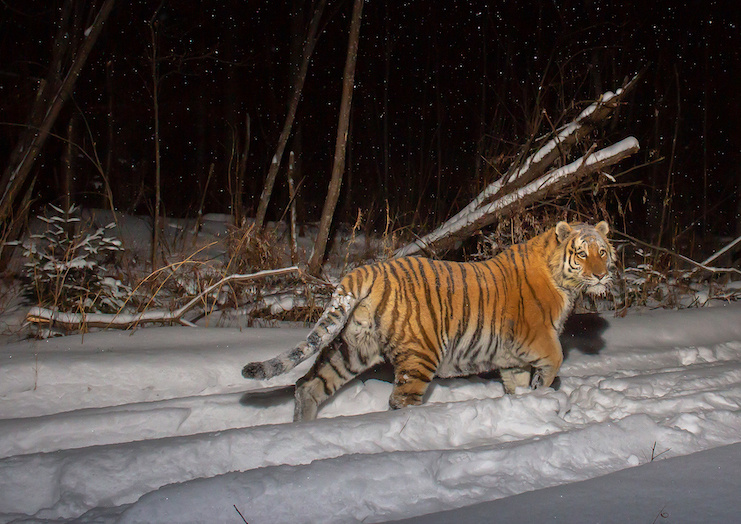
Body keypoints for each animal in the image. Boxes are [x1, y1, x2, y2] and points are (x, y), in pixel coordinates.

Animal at [241, 221, 612, 422]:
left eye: (603, 252)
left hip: (352, 348)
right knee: (400, 400)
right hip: (421, 354)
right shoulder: (538, 338)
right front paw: (542, 394)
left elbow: (516, 384)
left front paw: (525, 403)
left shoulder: (513, 358)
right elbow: (555, 360)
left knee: (308, 385)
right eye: (582, 253)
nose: (601, 275)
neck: (564, 282)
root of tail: (366, 270)